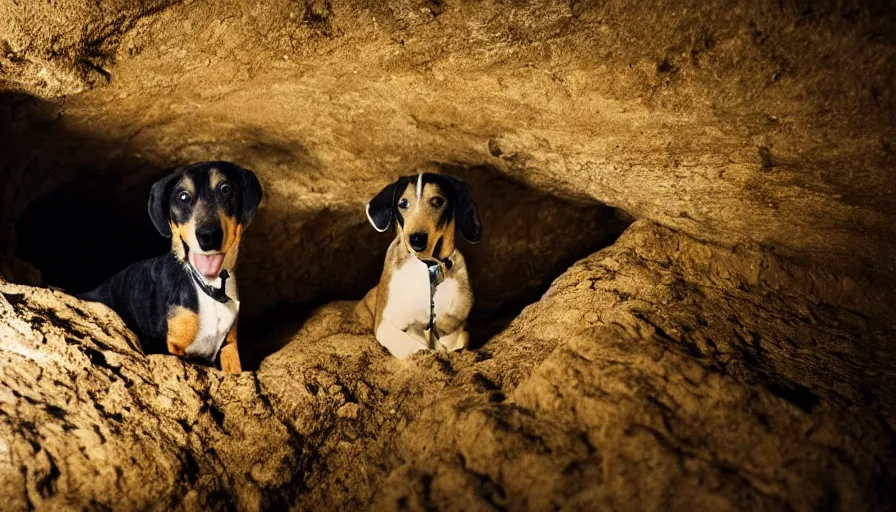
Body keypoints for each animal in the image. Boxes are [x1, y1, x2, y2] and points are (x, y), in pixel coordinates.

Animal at [78, 160, 260, 372]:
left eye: (226, 189)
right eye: (183, 196)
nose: (209, 236)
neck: (209, 287)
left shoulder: (229, 347)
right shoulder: (172, 346)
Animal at [358, 170, 484, 358]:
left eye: (437, 201)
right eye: (403, 203)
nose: (417, 239)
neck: (428, 267)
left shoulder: (459, 326)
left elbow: (454, 337)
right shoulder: (385, 324)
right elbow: (416, 346)